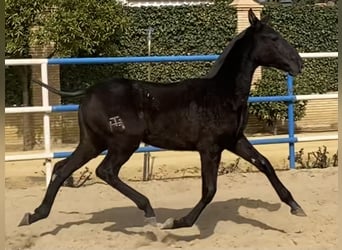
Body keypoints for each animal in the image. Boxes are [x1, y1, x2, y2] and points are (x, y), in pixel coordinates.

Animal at [20, 9, 306, 229]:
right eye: (273, 38)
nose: (299, 63)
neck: (222, 93)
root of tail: (88, 92)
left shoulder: (235, 141)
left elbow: (265, 164)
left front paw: (295, 206)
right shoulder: (210, 148)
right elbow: (209, 190)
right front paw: (179, 222)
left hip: (92, 142)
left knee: (62, 169)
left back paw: (34, 215)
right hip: (124, 143)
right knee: (106, 171)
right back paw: (148, 210)